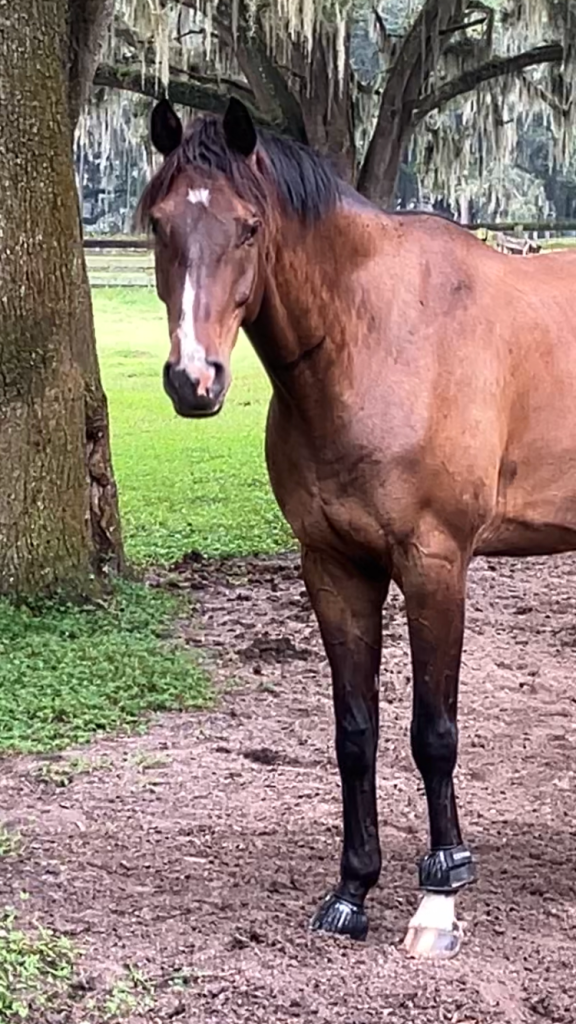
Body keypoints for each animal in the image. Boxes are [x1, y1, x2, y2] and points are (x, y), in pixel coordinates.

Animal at [137, 95, 576, 960]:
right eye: (161, 224)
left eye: (248, 226)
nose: (193, 380)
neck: (377, 337)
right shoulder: (335, 568)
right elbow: (355, 732)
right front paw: (351, 891)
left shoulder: (435, 564)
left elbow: (432, 731)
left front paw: (439, 897)